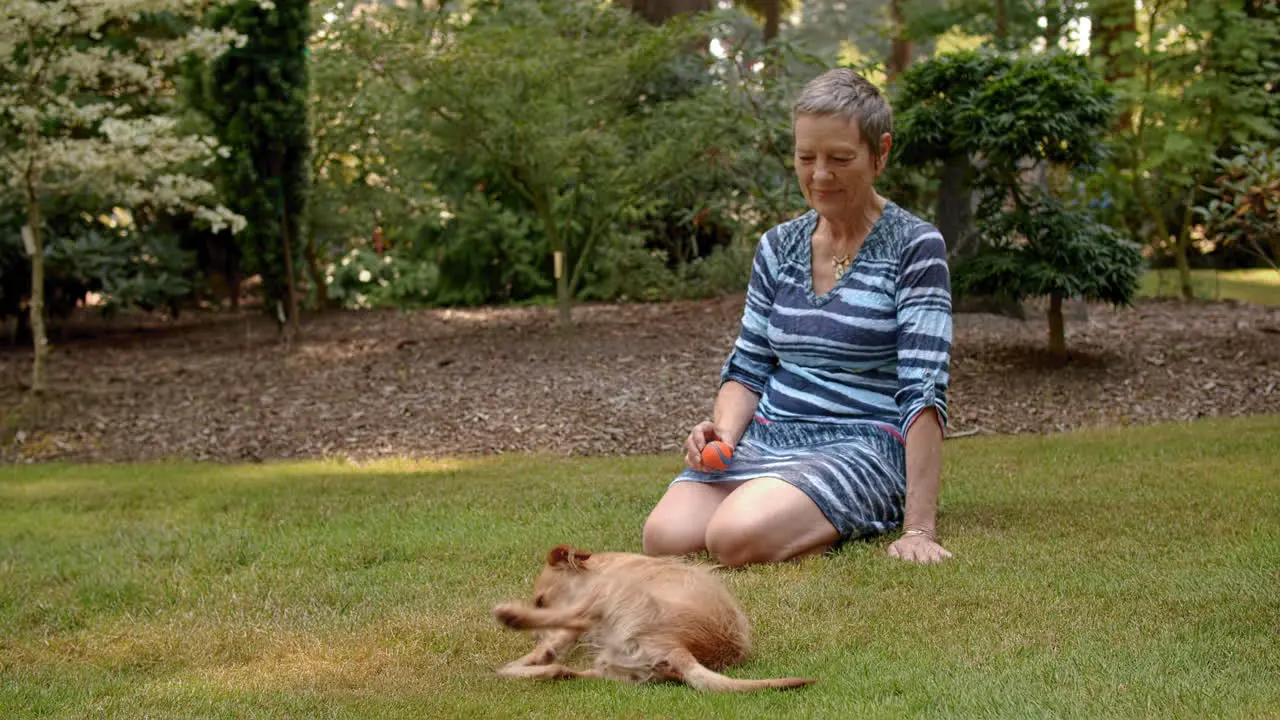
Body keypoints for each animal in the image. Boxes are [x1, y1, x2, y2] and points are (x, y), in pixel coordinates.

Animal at [488, 543, 808, 691]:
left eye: (541, 601)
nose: (535, 639)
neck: (601, 565)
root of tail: (677, 647)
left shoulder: (593, 597)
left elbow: (565, 627)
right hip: (614, 666)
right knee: (560, 671)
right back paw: (513, 668)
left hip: (615, 595)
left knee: (576, 625)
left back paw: (513, 618)